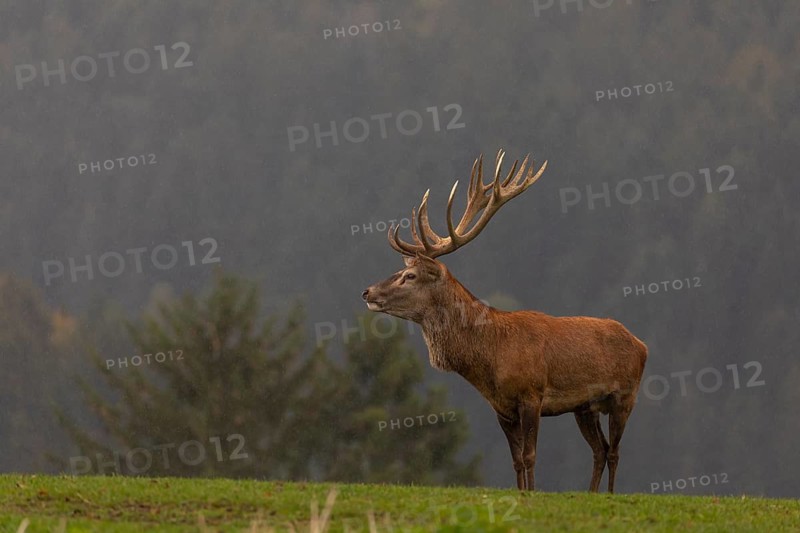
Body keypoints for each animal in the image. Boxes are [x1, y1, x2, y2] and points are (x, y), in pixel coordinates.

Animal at [361, 149, 648, 492]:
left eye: (410, 275)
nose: (367, 292)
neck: (491, 357)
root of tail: (641, 344)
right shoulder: (501, 408)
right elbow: (516, 460)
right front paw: (522, 491)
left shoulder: (532, 395)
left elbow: (530, 455)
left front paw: (533, 493)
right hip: (585, 407)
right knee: (600, 450)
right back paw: (591, 494)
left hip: (625, 396)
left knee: (614, 451)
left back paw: (609, 495)